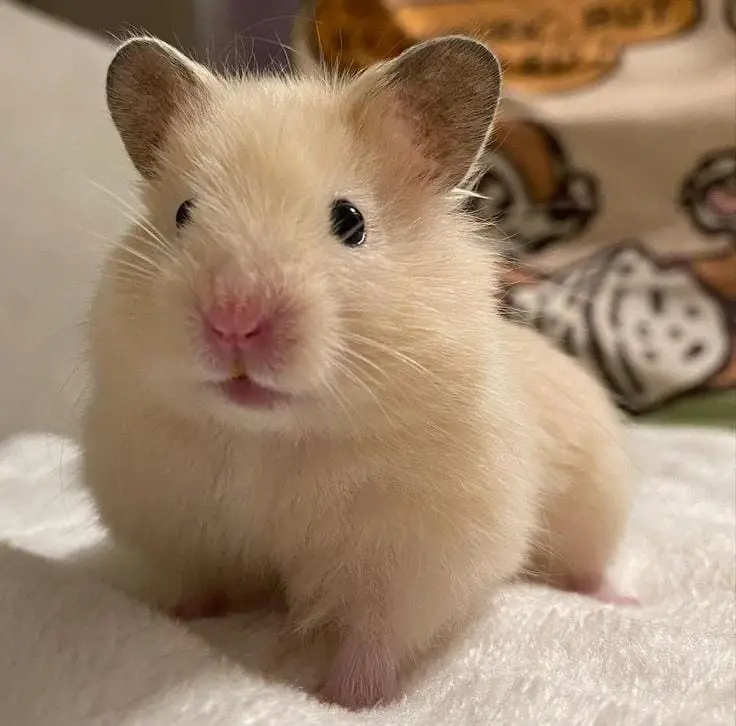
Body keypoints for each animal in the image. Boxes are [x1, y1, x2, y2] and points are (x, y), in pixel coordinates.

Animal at [81, 35, 636, 711]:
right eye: (183, 214)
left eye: (350, 222)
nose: (234, 321)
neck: (269, 439)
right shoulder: (165, 515)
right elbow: (191, 587)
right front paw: (170, 622)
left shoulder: (422, 555)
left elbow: (377, 639)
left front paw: (342, 698)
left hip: (597, 499)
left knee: (591, 565)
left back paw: (621, 599)